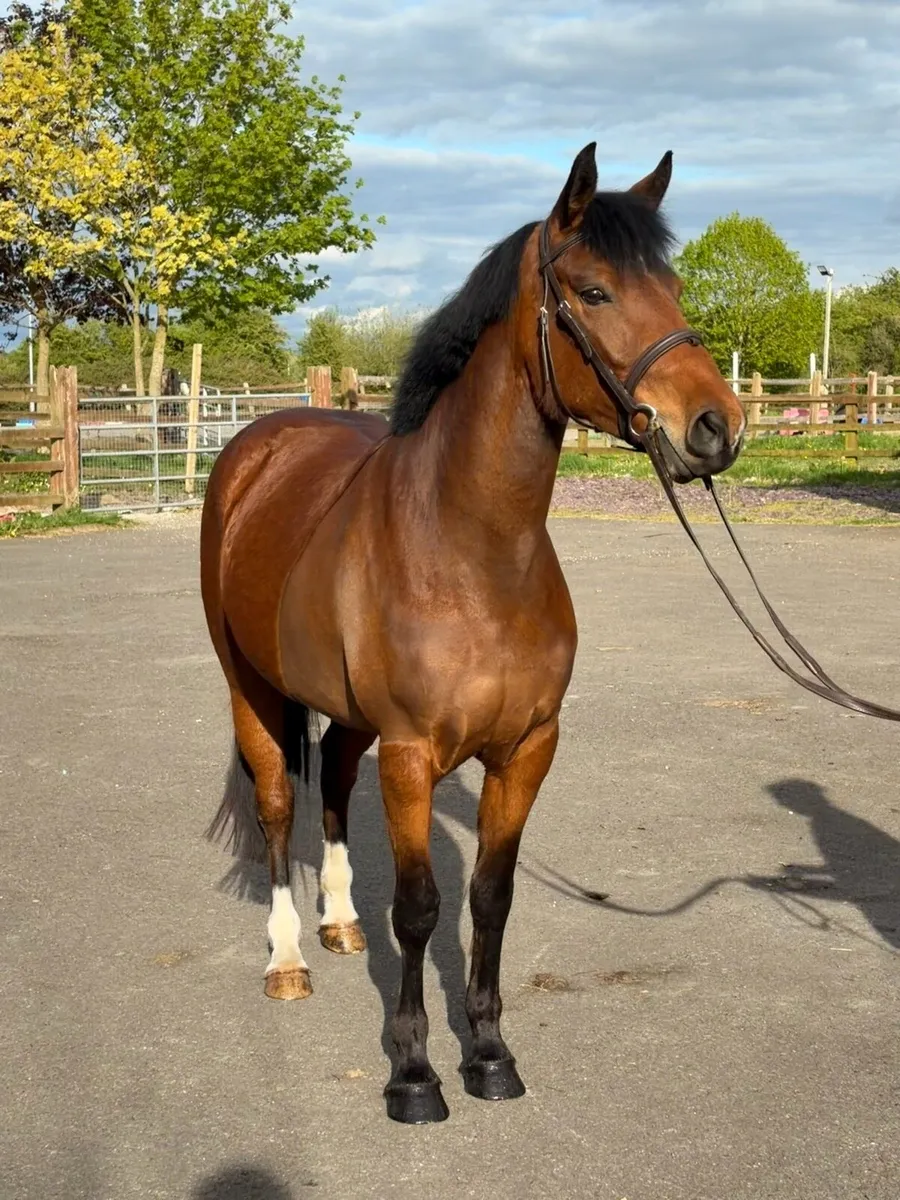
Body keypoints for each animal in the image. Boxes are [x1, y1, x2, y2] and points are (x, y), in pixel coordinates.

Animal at [200, 143, 747, 1124]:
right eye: (594, 291)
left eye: (677, 286)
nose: (717, 428)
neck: (471, 554)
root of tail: (258, 442)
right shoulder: (414, 754)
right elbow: (420, 908)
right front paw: (414, 1073)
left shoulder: (526, 749)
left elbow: (490, 900)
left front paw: (490, 1054)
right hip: (249, 690)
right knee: (278, 807)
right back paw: (289, 959)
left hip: (352, 722)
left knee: (334, 783)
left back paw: (340, 926)